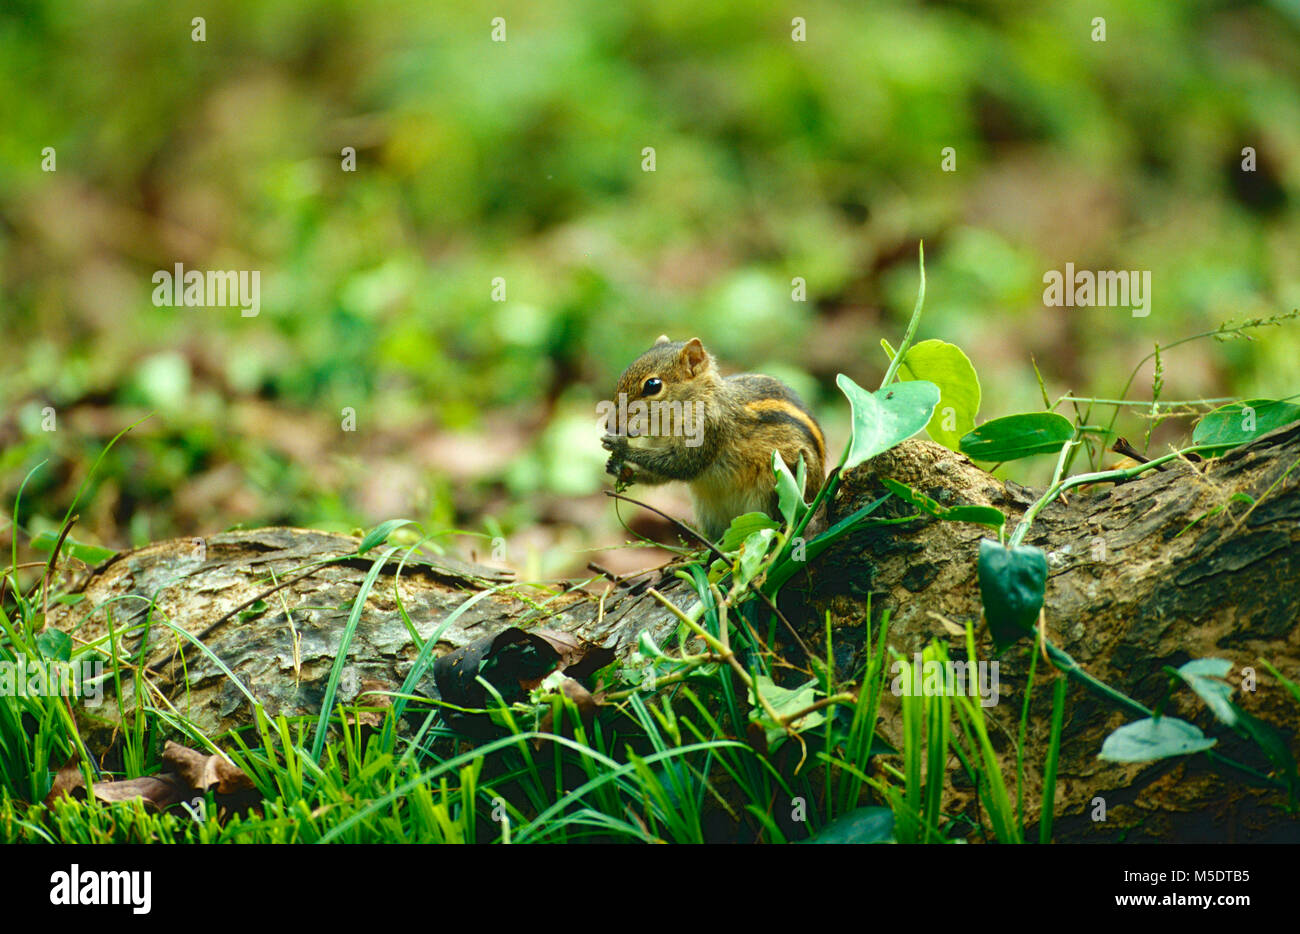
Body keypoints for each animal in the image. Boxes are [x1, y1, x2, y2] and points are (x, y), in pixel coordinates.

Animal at [598, 335, 821, 541]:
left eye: (653, 385)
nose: (610, 425)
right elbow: (660, 475)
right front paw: (618, 468)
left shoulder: (709, 430)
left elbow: (682, 465)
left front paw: (621, 446)